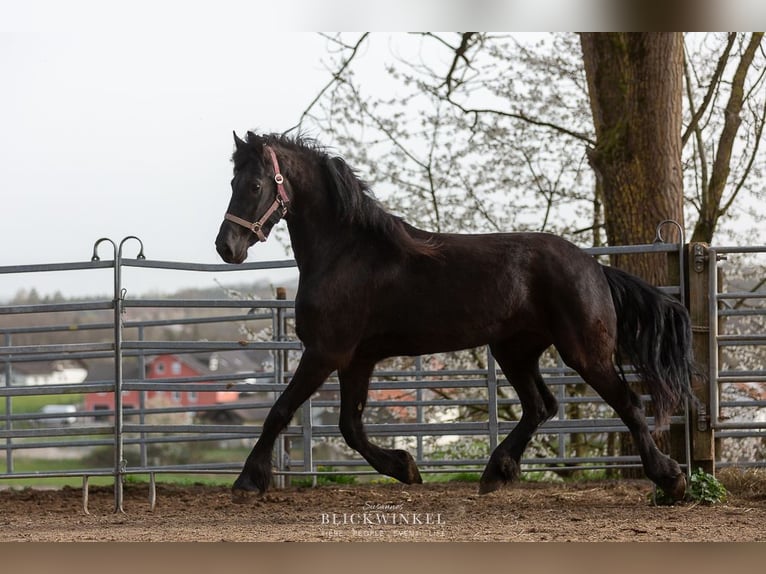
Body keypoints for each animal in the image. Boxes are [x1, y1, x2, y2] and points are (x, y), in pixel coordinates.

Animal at [214, 133, 696, 502]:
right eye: (232, 181)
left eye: (254, 184)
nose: (227, 246)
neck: (346, 252)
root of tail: (594, 267)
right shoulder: (356, 359)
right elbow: (350, 427)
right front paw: (405, 467)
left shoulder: (325, 353)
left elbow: (280, 410)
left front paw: (248, 482)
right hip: (514, 350)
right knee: (541, 405)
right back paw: (496, 472)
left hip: (583, 352)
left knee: (627, 403)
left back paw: (671, 479)